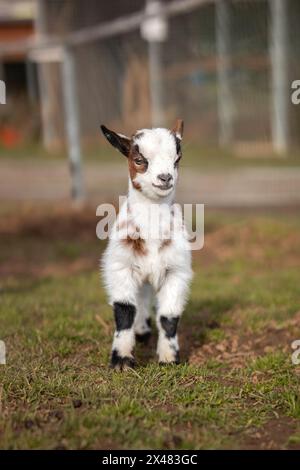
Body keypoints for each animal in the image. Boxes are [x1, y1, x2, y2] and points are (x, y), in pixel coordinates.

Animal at [99, 119, 192, 370]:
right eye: (139, 160)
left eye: (177, 158)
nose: (165, 177)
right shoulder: (121, 266)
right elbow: (124, 310)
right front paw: (121, 360)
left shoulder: (176, 270)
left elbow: (169, 317)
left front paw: (169, 358)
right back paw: (140, 332)